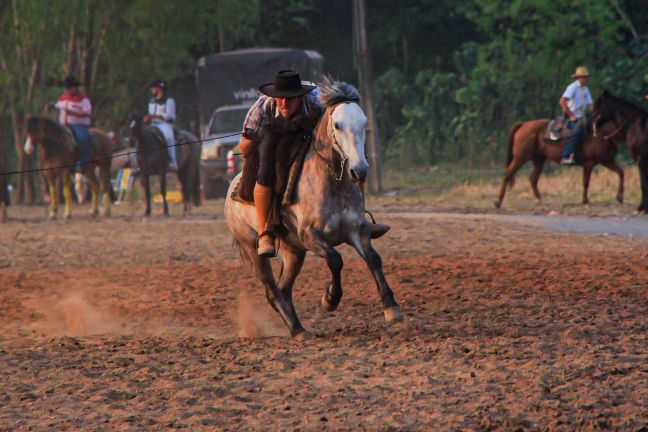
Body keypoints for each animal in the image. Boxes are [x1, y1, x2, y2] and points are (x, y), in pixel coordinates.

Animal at [225, 79, 402, 340]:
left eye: (363, 122)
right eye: (337, 125)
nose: (359, 170)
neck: (331, 181)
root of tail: (231, 191)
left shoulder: (357, 231)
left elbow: (374, 259)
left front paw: (391, 307)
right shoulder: (310, 236)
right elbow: (336, 260)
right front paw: (330, 299)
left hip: (293, 251)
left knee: (284, 288)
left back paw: (298, 327)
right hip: (253, 248)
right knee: (272, 290)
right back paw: (296, 328)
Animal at [496, 117, 624, 207]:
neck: (598, 134)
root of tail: (523, 124)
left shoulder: (607, 161)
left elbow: (620, 172)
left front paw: (620, 197)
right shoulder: (589, 163)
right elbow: (586, 182)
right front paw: (585, 201)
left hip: (539, 159)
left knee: (533, 179)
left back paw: (541, 202)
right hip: (520, 158)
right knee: (508, 174)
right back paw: (498, 202)